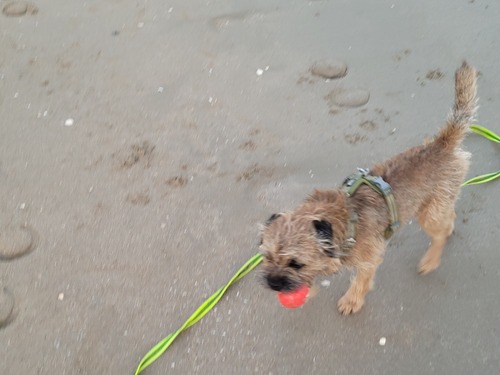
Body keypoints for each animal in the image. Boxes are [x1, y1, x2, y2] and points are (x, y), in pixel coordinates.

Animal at [262, 61, 476, 314]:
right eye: (267, 257)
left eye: (296, 263)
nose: (273, 283)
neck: (345, 221)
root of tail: (440, 144)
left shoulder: (368, 259)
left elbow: (360, 280)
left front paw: (351, 300)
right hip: (437, 204)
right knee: (448, 216)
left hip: (429, 214)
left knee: (439, 234)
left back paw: (431, 260)